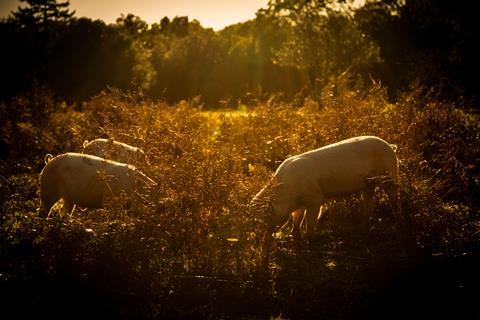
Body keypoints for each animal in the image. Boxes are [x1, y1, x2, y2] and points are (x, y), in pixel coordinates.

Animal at [253, 135, 404, 238]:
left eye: (264, 217)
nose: (260, 238)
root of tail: (390, 146)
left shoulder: (315, 198)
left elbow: (310, 221)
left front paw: (310, 239)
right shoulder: (301, 203)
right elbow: (297, 218)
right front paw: (294, 236)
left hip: (389, 172)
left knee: (394, 198)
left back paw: (399, 223)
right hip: (368, 184)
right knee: (369, 204)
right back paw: (363, 229)